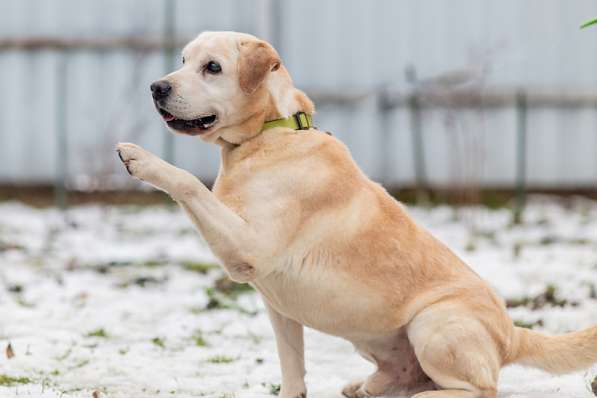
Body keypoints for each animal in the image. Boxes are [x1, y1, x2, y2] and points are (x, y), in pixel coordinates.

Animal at [116, 31, 596, 398]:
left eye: (212, 67)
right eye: (183, 60)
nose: (157, 87)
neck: (269, 136)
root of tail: (513, 333)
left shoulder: (248, 249)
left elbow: (187, 183)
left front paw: (141, 159)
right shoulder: (279, 309)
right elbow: (293, 370)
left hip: (434, 321)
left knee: (479, 390)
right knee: (410, 377)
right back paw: (366, 387)